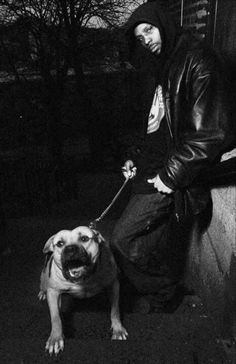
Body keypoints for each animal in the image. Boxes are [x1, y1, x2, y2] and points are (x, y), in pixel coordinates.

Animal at [38, 226, 128, 354]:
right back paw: (42, 292)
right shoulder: (53, 292)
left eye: (84, 238)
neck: (83, 280)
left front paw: (118, 329)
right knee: (43, 284)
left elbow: (115, 310)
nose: (70, 249)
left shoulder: (113, 285)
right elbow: (55, 317)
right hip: (44, 275)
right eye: (60, 243)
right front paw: (55, 338)